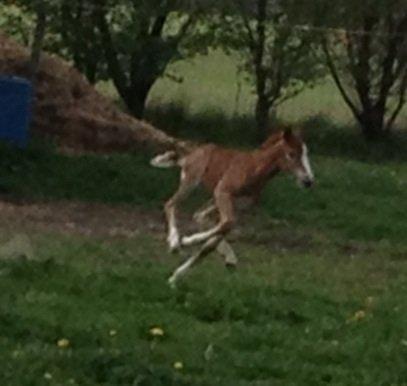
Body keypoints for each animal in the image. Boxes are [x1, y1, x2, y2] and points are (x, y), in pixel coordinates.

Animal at [153, 130, 316, 286]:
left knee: (199, 215)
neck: (254, 168)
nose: (308, 181)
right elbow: (227, 223)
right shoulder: (223, 192)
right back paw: (174, 242)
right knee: (171, 204)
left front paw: (176, 275)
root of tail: (192, 151)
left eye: (306, 153)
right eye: (291, 154)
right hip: (192, 181)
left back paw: (228, 257)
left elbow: (216, 237)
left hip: (213, 198)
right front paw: (187, 242)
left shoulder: (239, 205)